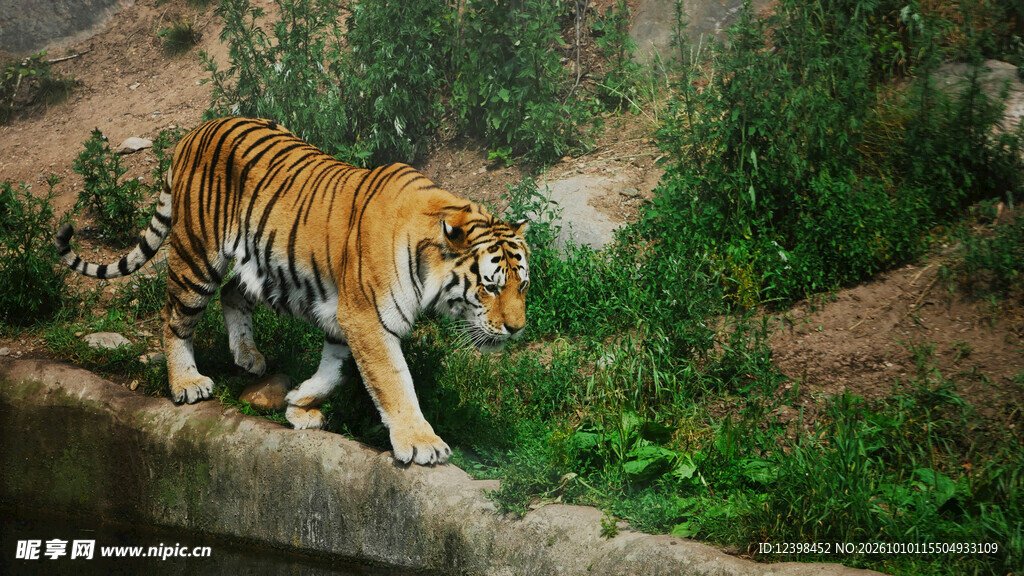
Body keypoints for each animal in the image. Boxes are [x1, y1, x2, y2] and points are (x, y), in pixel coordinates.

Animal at [55, 117, 530, 466]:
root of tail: (197, 130)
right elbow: (394, 382)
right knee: (174, 318)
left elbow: (335, 369)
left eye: (522, 285)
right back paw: (187, 383)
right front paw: (421, 443)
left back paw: (248, 356)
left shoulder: (346, 317)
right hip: (196, 258)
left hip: (257, 262)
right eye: (490, 287)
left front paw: (300, 403)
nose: (518, 329)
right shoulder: (367, 318)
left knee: (233, 293)